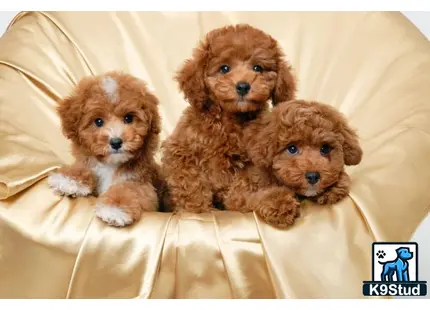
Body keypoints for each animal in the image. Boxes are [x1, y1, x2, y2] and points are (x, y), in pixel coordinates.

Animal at [46, 72, 161, 228]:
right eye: (98, 121)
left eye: (129, 118)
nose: (116, 142)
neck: (111, 164)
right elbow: (84, 168)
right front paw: (69, 179)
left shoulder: (141, 183)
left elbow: (129, 188)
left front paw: (114, 209)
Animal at [160, 23, 298, 213]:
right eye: (224, 68)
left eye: (257, 68)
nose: (243, 86)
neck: (229, 120)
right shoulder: (180, 152)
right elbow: (190, 183)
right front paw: (198, 208)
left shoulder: (252, 164)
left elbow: (244, 185)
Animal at [225, 100, 362, 228]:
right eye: (292, 148)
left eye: (325, 148)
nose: (313, 176)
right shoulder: (239, 193)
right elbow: (256, 195)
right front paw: (280, 204)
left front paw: (334, 186)